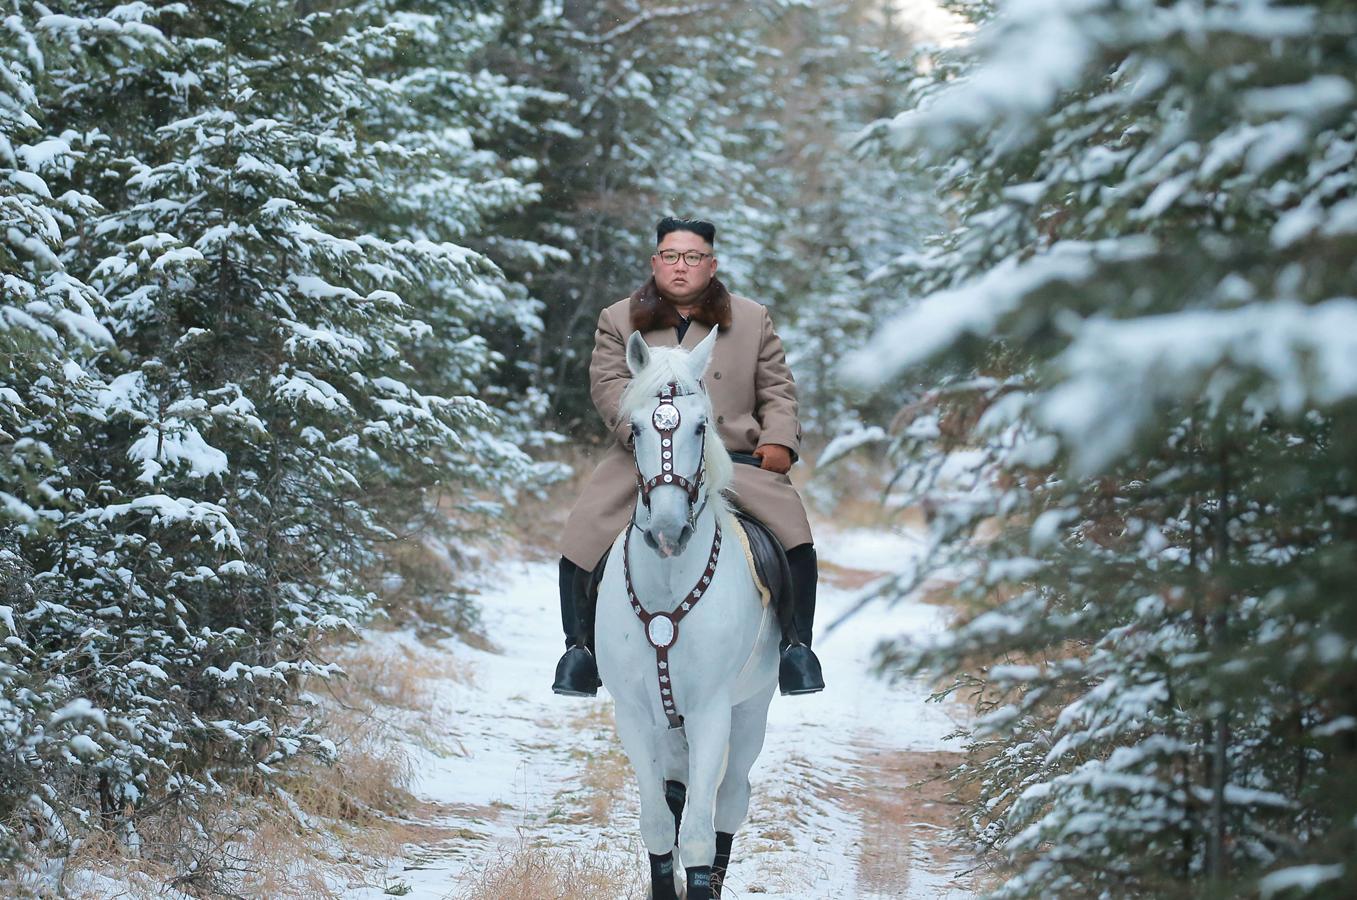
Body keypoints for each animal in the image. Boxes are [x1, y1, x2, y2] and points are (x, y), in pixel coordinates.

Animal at [597, 329, 781, 900]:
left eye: (702, 426)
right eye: (635, 428)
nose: (667, 532)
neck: (668, 583)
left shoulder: (711, 713)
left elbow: (699, 833)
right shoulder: (634, 715)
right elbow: (659, 823)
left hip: (750, 711)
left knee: (731, 799)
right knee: (676, 792)